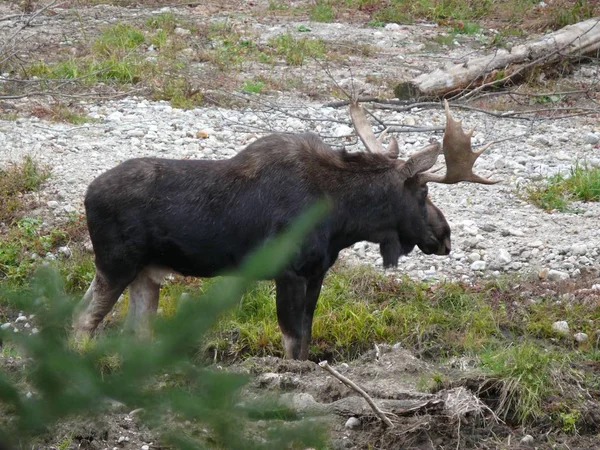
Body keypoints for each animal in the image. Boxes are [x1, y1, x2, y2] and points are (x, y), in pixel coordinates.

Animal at [74, 100, 496, 360]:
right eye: (423, 192)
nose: (445, 236)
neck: (343, 218)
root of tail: (87, 194)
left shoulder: (316, 272)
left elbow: (306, 339)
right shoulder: (288, 272)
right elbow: (292, 343)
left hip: (146, 273)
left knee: (133, 330)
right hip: (116, 263)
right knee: (83, 319)